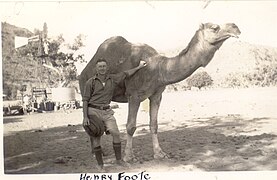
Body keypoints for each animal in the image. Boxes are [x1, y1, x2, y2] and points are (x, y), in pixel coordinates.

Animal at [79, 22, 239, 162]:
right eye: (214, 27)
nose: (236, 27)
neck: (157, 68)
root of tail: (82, 72)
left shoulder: (157, 95)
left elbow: (154, 125)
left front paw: (159, 153)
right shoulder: (134, 95)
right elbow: (131, 126)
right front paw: (128, 157)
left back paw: (100, 152)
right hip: (84, 86)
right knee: (88, 118)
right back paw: (95, 152)